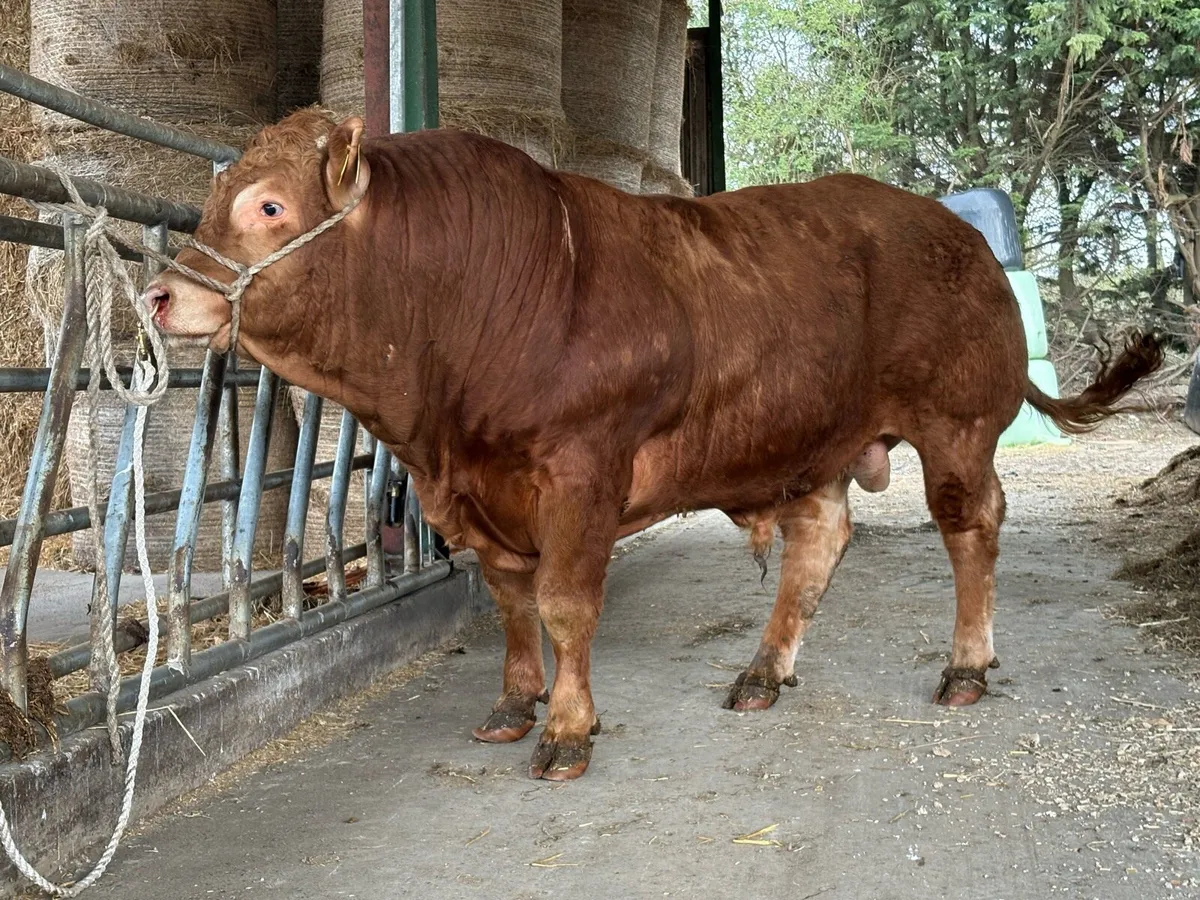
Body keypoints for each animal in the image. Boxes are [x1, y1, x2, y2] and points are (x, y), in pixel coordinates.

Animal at [146, 109, 1163, 781]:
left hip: (956, 426)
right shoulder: (470, 492)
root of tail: (955, 231)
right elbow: (509, 603)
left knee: (970, 526)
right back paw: (762, 672)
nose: (160, 296)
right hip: (812, 438)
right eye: (215, 195)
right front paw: (513, 705)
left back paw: (965, 667)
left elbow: (564, 606)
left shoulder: (580, 470)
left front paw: (567, 729)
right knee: (819, 543)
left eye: (270, 207)